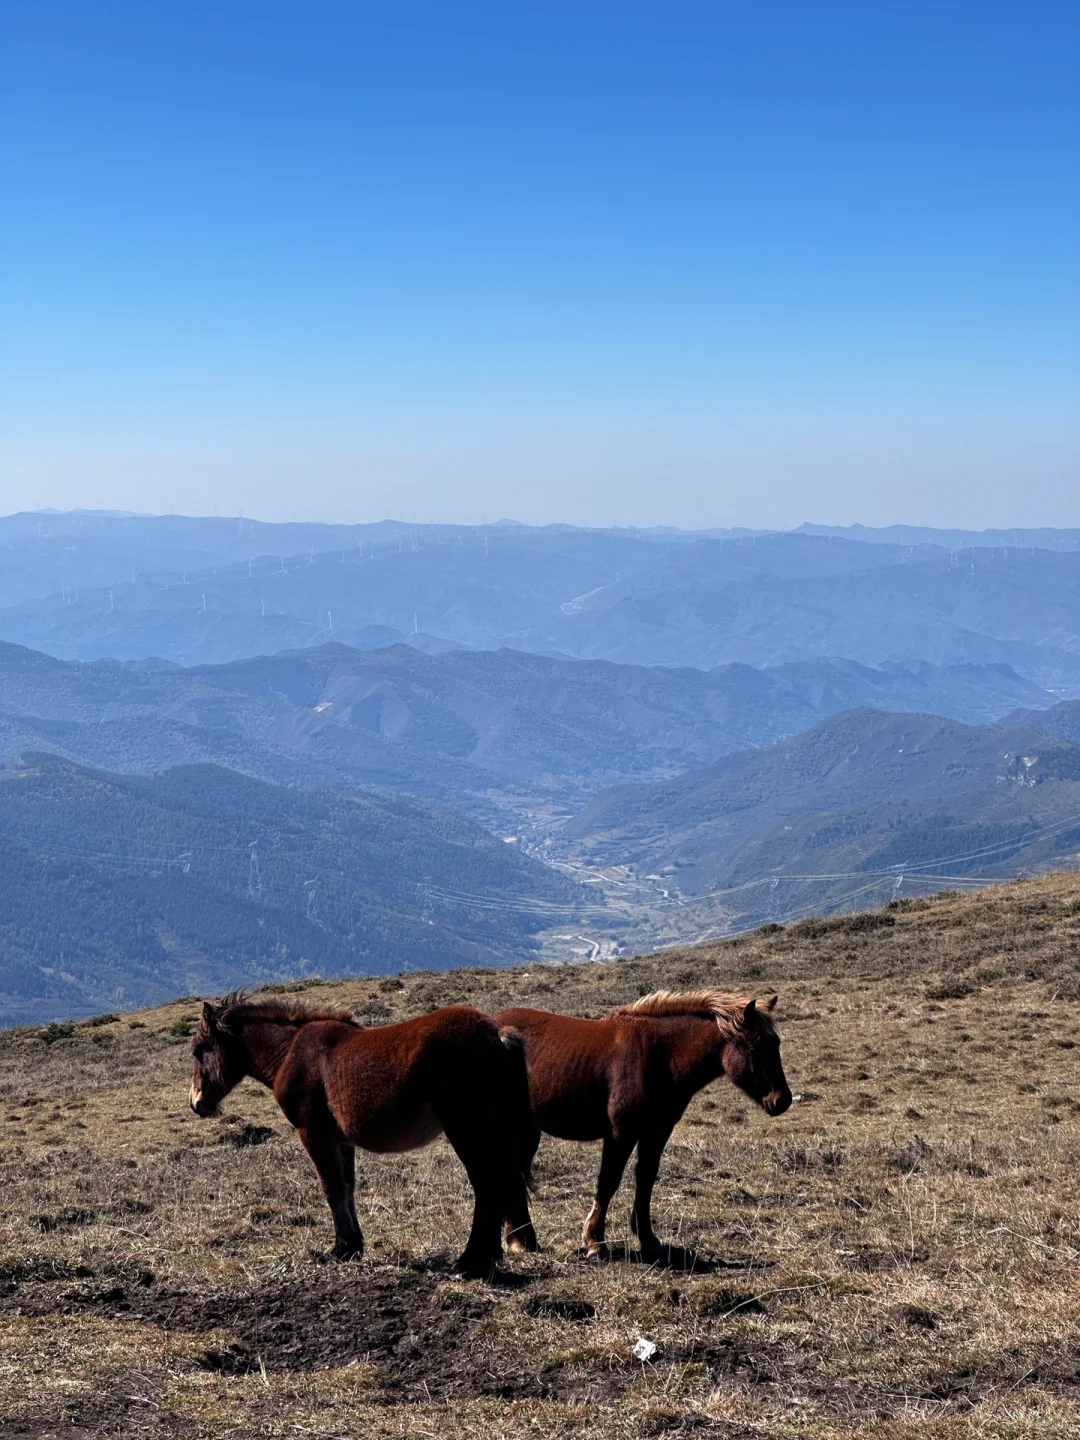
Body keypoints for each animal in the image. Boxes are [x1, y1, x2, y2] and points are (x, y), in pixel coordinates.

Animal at [192, 996, 538, 1278]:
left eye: (198, 1051)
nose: (197, 1104)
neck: (289, 1051)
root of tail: (498, 1034)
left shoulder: (314, 1134)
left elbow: (331, 1188)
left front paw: (339, 1249)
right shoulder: (341, 1141)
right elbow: (347, 1188)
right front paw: (352, 1247)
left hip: (467, 1130)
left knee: (487, 1185)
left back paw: (470, 1263)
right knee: (505, 1183)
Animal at [498, 990, 794, 1261]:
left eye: (777, 1043)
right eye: (754, 1046)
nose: (782, 1100)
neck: (660, 1056)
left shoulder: (657, 1132)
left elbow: (646, 1179)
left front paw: (648, 1240)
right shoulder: (621, 1133)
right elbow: (609, 1181)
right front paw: (595, 1241)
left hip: (527, 1129)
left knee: (515, 1174)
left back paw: (522, 1240)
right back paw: (519, 1241)